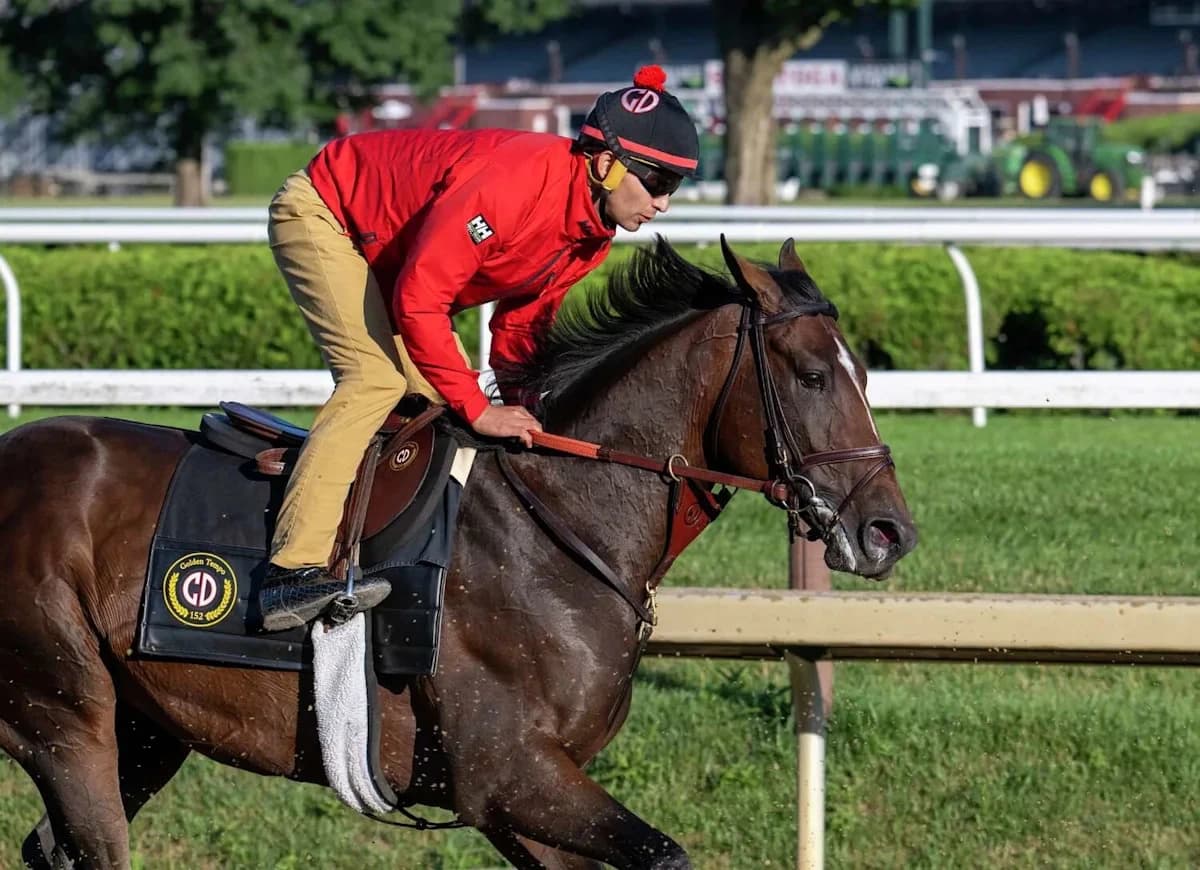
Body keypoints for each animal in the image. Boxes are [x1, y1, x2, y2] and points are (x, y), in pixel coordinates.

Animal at [0, 237, 916, 869]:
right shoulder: (507, 773)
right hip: (64, 716)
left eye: (865, 373)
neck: (558, 521)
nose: (888, 532)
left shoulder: (520, 801)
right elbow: (665, 853)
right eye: (810, 376)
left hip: (147, 729)